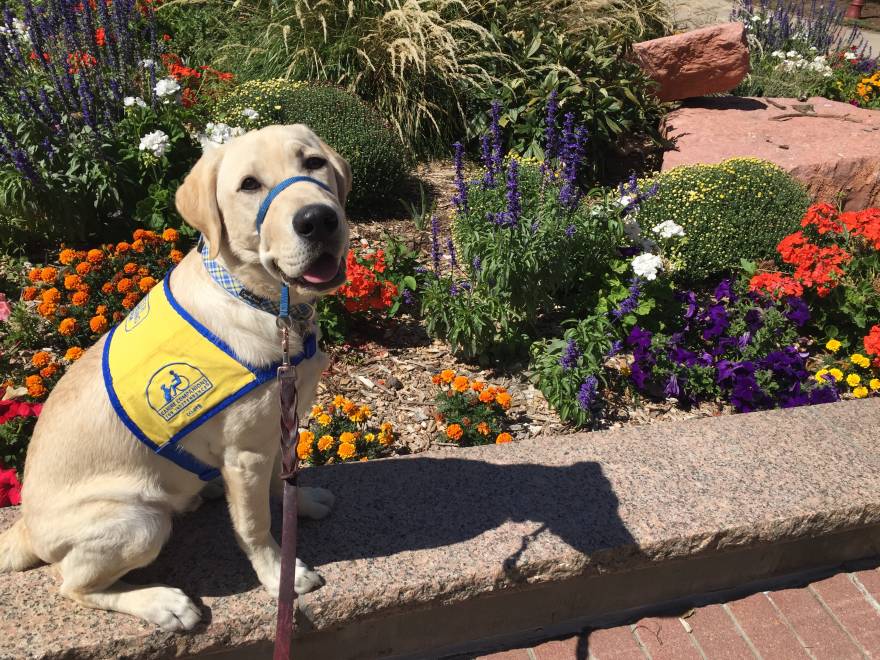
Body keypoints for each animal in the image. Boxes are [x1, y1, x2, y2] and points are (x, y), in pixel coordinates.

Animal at [0, 122, 350, 628]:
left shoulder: (274, 430)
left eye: (314, 162)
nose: (318, 219)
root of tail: (25, 526)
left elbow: (278, 485)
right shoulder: (246, 452)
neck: (266, 304)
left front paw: (301, 505)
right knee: (73, 585)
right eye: (249, 185)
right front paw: (279, 576)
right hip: (139, 522)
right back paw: (162, 602)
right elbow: (255, 524)